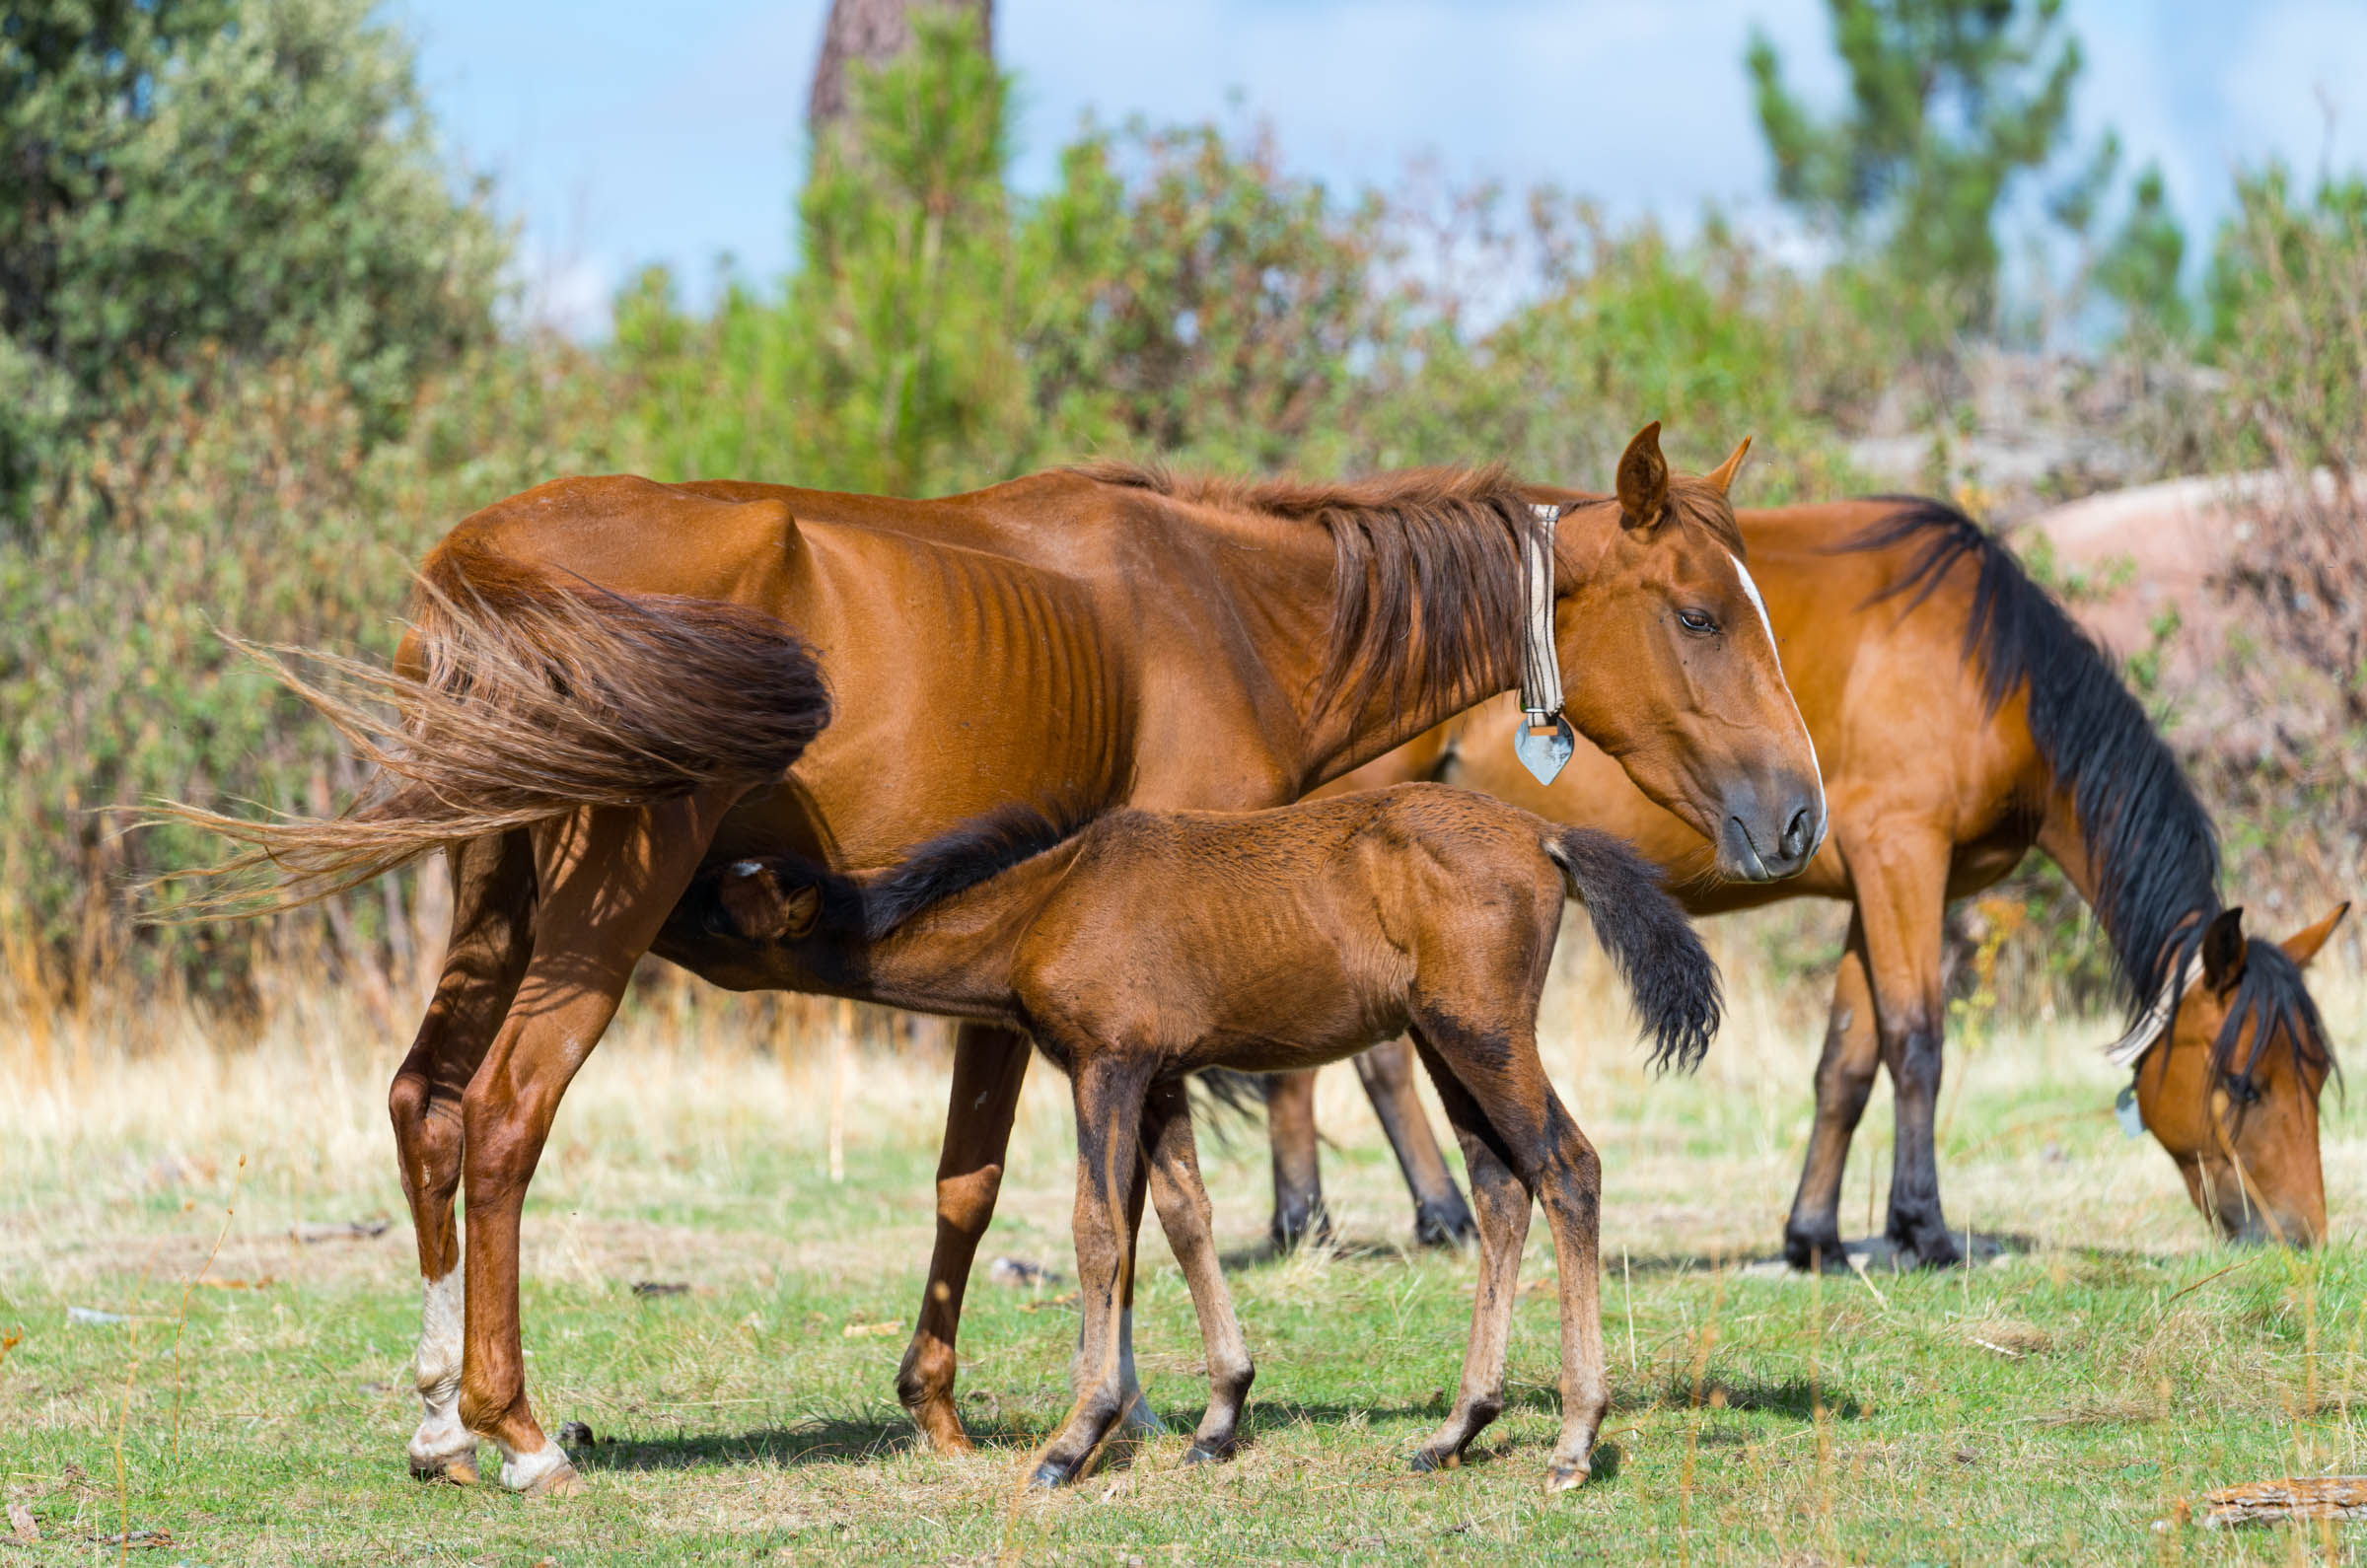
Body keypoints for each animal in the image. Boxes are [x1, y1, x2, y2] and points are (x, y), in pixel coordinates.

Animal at [686, 786, 1723, 1496]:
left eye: (721, 903)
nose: (664, 899)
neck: (1052, 897)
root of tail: (1543, 834)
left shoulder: (1107, 1064)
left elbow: (1098, 1229)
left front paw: (1076, 1439)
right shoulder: (1160, 1074)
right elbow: (1184, 1216)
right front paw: (1220, 1417)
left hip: (1485, 1032)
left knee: (1567, 1167)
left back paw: (1574, 1441)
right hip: (1442, 1039)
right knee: (1501, 1190)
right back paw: (1456, 1430)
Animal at [1258, 497, 2347, 1269]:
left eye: (2318, 1080)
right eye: (2241, 1082)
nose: (2300, 1236)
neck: (1988, 669)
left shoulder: (1878, 883)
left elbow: (1847, 1063)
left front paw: (1815, 1233)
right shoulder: (1904, 858)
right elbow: (1917, 1042)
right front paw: (1923, 1228)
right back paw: (1372, 1217)